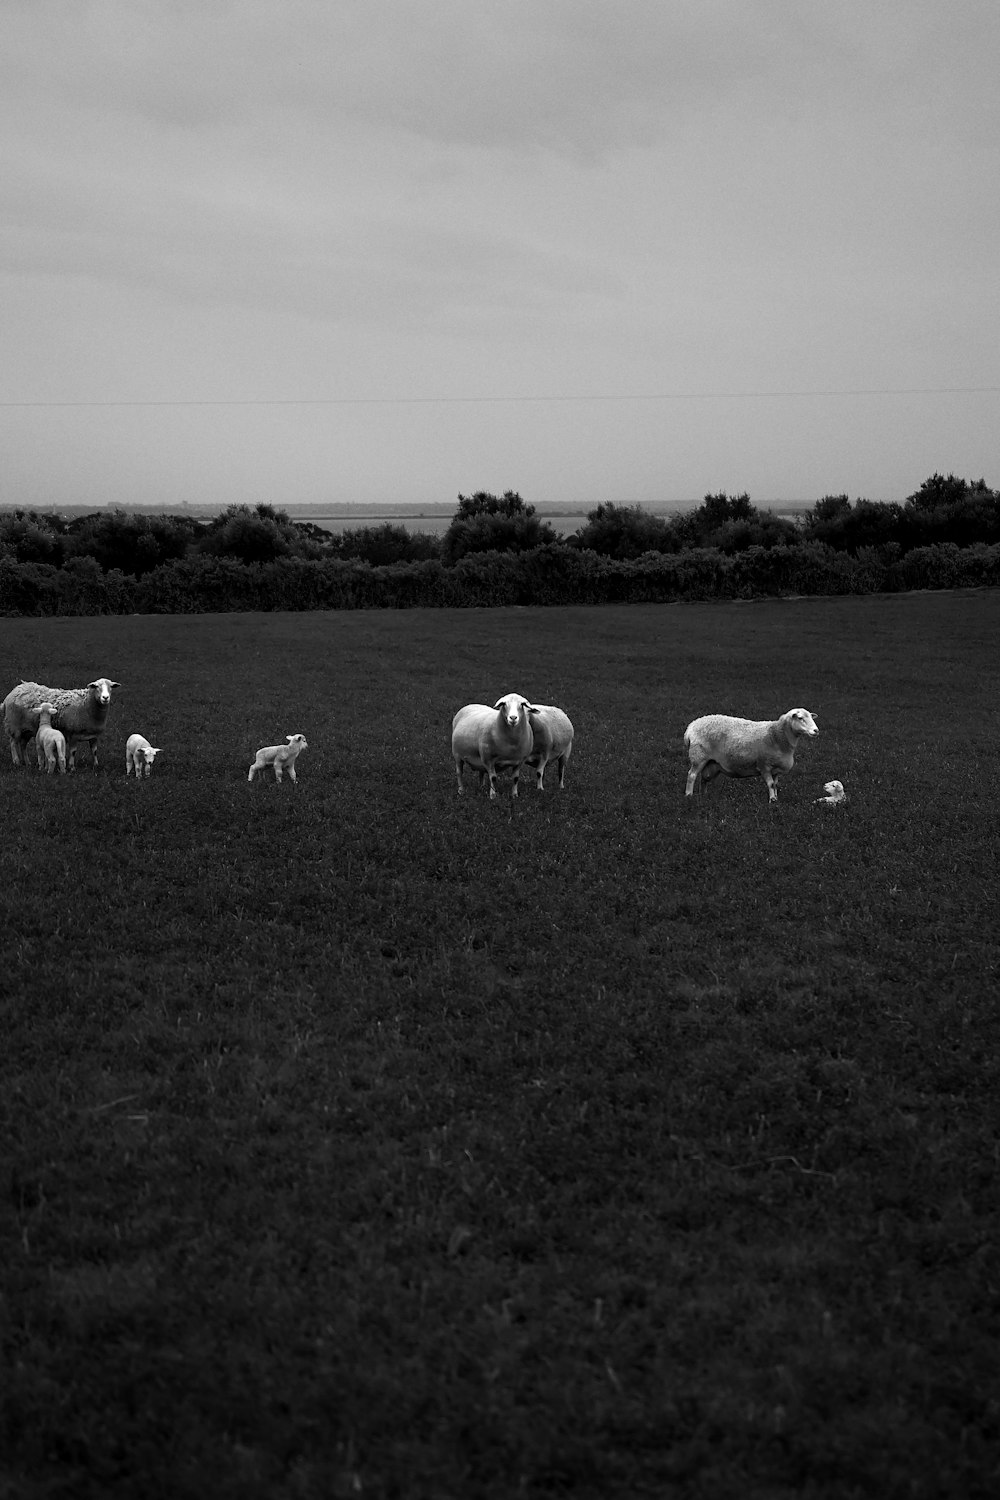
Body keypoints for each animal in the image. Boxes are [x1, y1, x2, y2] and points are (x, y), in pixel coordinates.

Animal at [689, 705, 821, 804]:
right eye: (800, 718)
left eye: (811, 717)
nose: (816, 731)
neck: (776, 735)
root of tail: (691, 726)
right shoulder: (764, 765)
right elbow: (771, 784)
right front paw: (772, 800)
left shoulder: (776, 769)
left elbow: (775, 784)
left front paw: (776, 799)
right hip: (698, 757)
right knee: (692, 775)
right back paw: (688, 795)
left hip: (711, 763)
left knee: (704, 779)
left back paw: (703, 796)